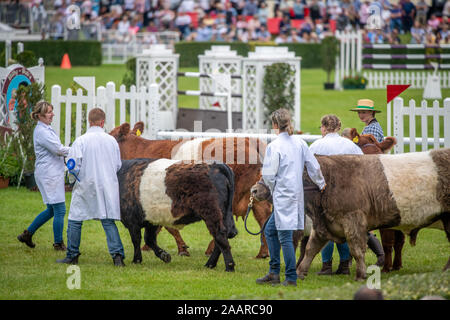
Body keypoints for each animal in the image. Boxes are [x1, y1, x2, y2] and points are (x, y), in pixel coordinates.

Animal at [110, 121, 270, 258]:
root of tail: (252, 141)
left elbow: (168, 226)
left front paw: (180, 248)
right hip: (256, 193)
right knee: (264, 217)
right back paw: (263, 253)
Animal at [253, 148, 450, 280]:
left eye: (276, 171)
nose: (254, 190)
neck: (328, 182)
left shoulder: (353, 220)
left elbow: (356, 249)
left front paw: (361, 274)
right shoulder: (325, 225)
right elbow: (311, 249)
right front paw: (301, 272)